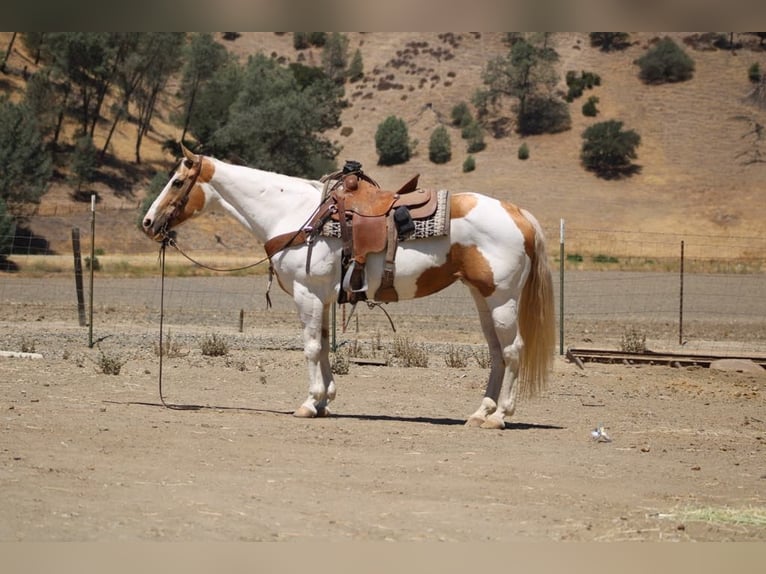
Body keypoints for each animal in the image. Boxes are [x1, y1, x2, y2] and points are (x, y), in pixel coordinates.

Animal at [142, 145, 555, 429]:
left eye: (176, 182)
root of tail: (518, 213)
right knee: (496, 352)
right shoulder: (323, 299)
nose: (147, 222)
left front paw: (309, 403)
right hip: (483, 298)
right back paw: (480, 411)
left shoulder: (308, 295)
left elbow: (310, 348)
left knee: (513, 351)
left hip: (502, 299)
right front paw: (325, 401)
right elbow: (324, 345)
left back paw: (500, 416)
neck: (296, 215)